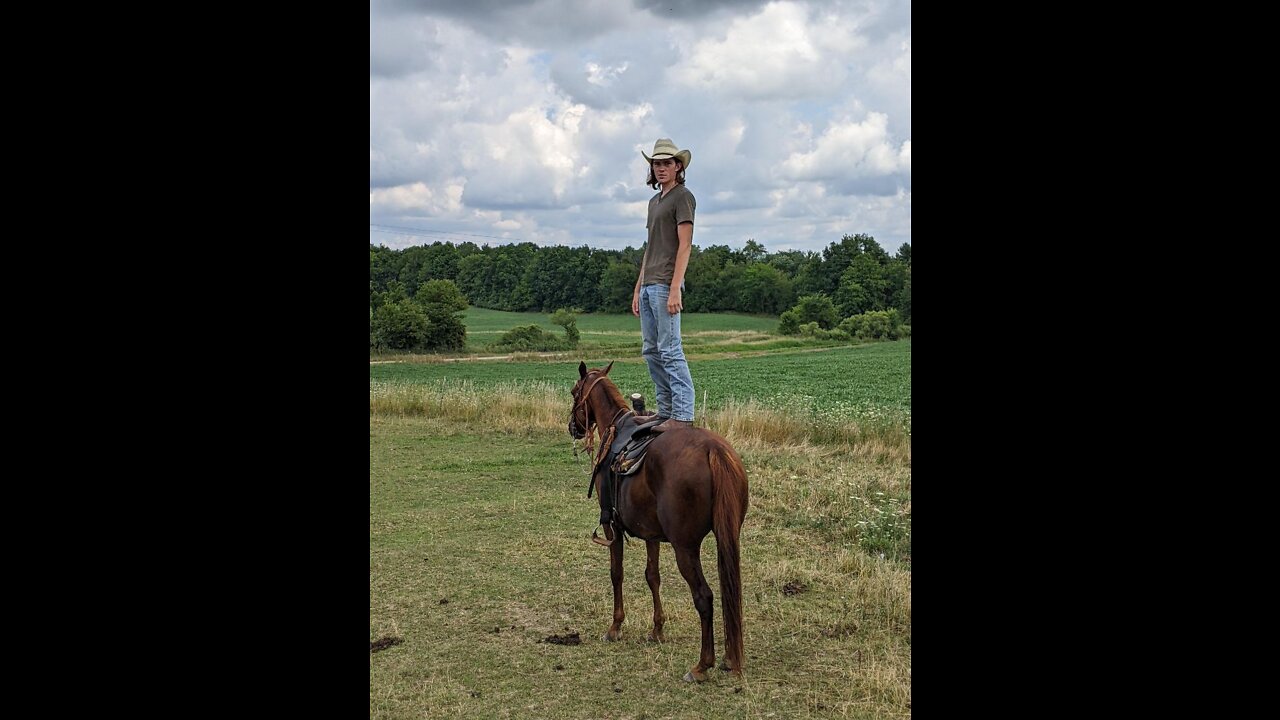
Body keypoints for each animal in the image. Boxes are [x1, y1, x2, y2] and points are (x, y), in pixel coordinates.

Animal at [568, 360, 749, 682]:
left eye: (574, 392)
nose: (572, 427)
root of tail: (713, 450)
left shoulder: (611, 526)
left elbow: (616, 573)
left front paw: (615, 627)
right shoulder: (651, 533)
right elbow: (652, 576)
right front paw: (657, 629)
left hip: (685, 548)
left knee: (704, 596)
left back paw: (702, 665)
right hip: (727, 536)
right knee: (730, 592)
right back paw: (729, 658)